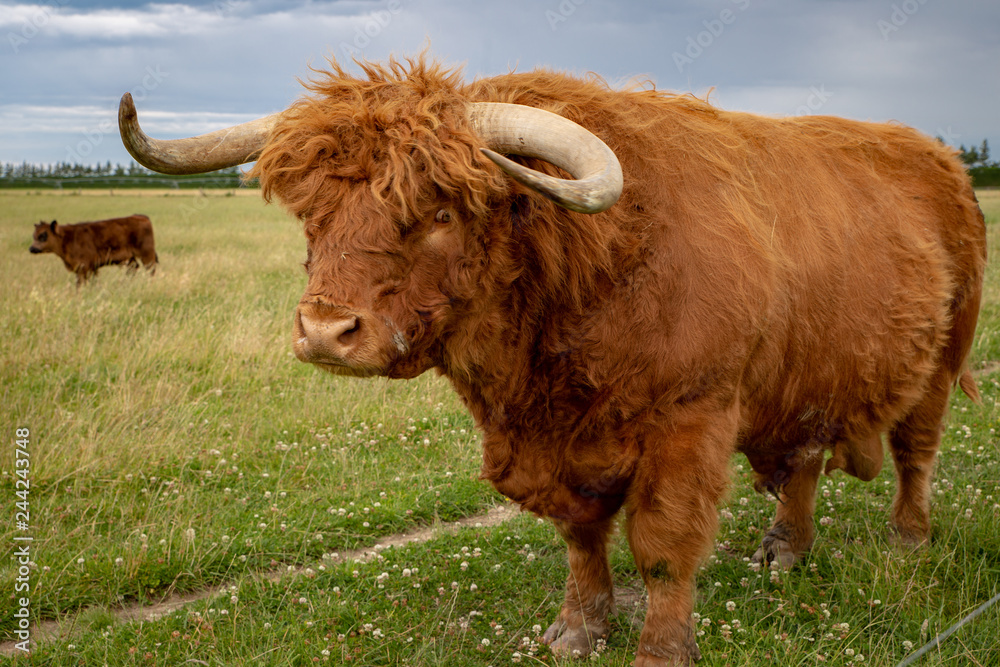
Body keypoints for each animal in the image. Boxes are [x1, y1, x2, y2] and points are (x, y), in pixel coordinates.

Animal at [30, 215, 158, 286]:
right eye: (34, 236)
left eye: (43, 235)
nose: (32, 248)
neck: (68, 237)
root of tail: (142, 217)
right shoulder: (89, 268)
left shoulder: (85, 268)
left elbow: (81, 284)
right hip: (130, 259)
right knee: (133, 268)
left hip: (147, 255)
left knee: (150, 270)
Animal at [117, 58, 984, 667]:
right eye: (313, 210)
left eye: (440, 210)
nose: (328, 331)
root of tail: (936, 155)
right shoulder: (549, 441)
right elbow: (579, 531)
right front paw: (578, 626)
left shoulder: (690, 420)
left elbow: (663, 545)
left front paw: (661, 647)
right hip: (807, 373)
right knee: (803, 457)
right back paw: (786, 549)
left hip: (944, 355)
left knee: (917, 450)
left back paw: (908, 537)